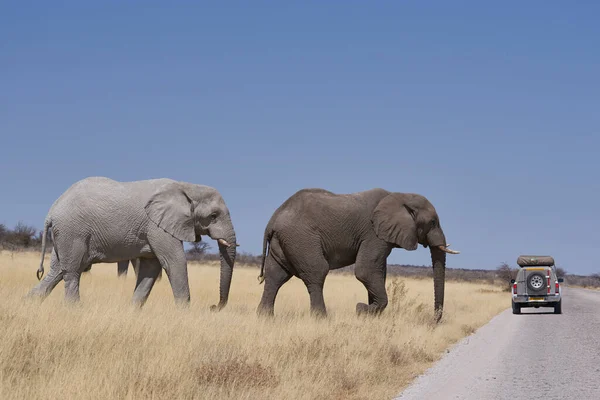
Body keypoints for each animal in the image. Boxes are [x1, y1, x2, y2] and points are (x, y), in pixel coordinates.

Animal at [26, 177, 237, 308]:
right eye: (213, 215)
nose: (213, 306)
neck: (187, 187)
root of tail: (52, 210)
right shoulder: (157, 226)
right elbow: (174, 262)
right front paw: (184, 314)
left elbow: (151, 268)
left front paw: (133, 311)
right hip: (73, 232)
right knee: (72, 272)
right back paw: (75, 309)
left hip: (64, 234)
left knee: (56, 272)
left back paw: (28, 303)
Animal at [256, 188, 460, 322]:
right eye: (433, 222)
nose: (434, 321)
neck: (399, 195)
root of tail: (273, 219)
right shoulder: (373, 234)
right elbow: (365, 271)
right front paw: (362, 310)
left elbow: (378, 272)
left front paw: (371, 314)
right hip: (301, 238)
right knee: (316, 272)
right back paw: (321, 319)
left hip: (284, 242)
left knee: (275, 277)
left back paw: (265, 318)